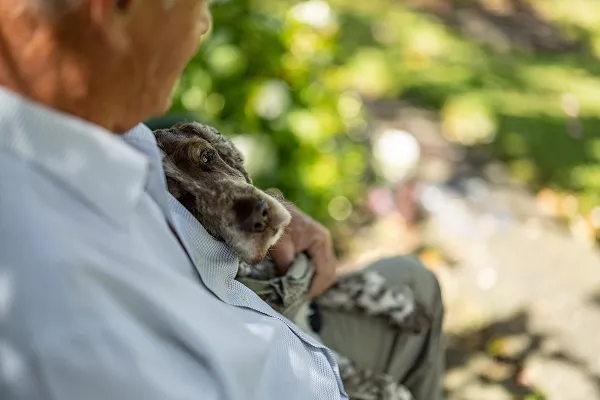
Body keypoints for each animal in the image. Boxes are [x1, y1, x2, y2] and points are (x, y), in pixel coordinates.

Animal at [155, 122, 428, 400]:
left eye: (207, 157)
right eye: (184, 203)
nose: (259, 215)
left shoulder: (311, 272)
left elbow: (363, 290)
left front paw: (409, 312)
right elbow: (363, 376)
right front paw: (398, 391)